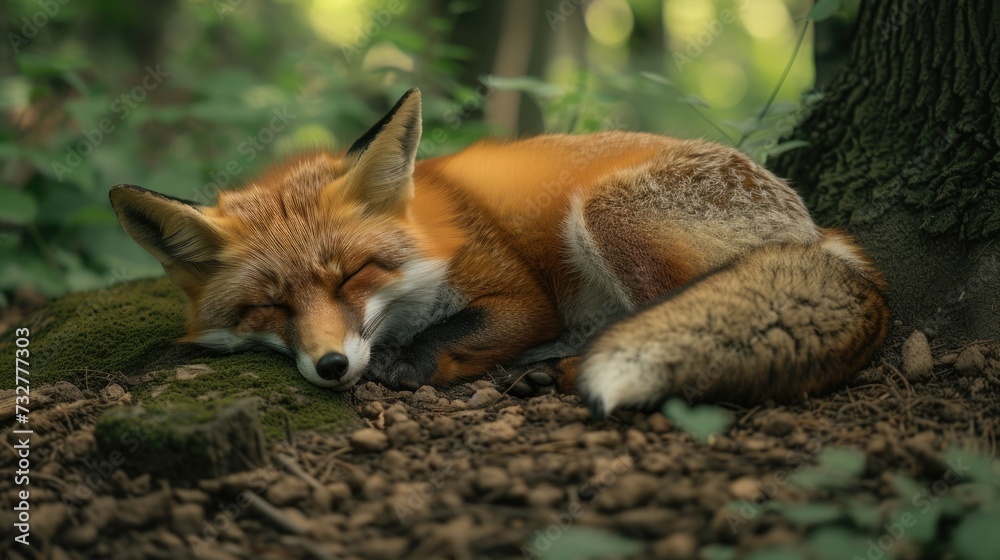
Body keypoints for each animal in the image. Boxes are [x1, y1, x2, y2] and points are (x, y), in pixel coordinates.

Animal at [109, 88, 889, 418]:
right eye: (269, 305)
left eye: (356, 273)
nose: (332, 366)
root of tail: (822, 233)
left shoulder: (521, 295)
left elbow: (456, 331)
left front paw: (407, 365)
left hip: (606, 212)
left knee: (677, 315)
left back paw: (562, 370)